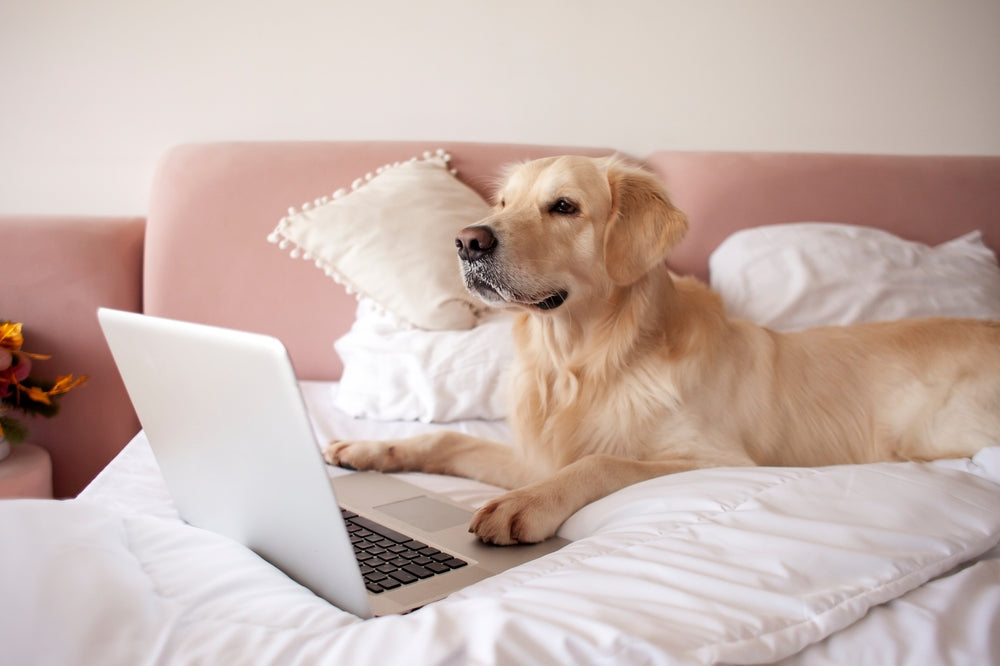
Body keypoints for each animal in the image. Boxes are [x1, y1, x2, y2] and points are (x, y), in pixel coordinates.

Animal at [324, 156, 996, 544]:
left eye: (563, 206)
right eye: (503, 204)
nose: (466, 241)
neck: (581, 362)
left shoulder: (721, 461)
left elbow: (601, 462)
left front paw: (527, 506)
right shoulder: (537, 453)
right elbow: (448, 440)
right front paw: (369, 448)